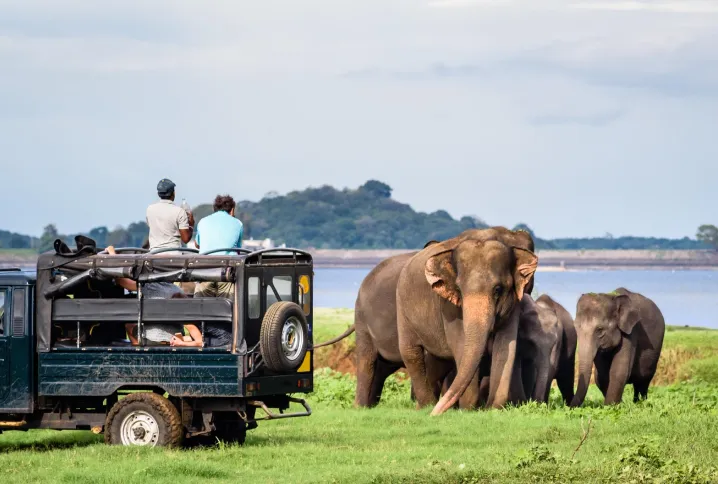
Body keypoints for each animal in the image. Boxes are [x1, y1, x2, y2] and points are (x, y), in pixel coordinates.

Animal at [400, 233, 540, 414]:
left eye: (498, 289)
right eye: (459, 290)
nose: (435, 415)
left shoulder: (514, 303)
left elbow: (506, 346)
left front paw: (492, 408)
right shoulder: (448, 307)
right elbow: (460, 344)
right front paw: (468, 409)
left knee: (437, 362)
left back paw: (425, 407)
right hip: (402, 308)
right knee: (411, 353)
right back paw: (427, 406)